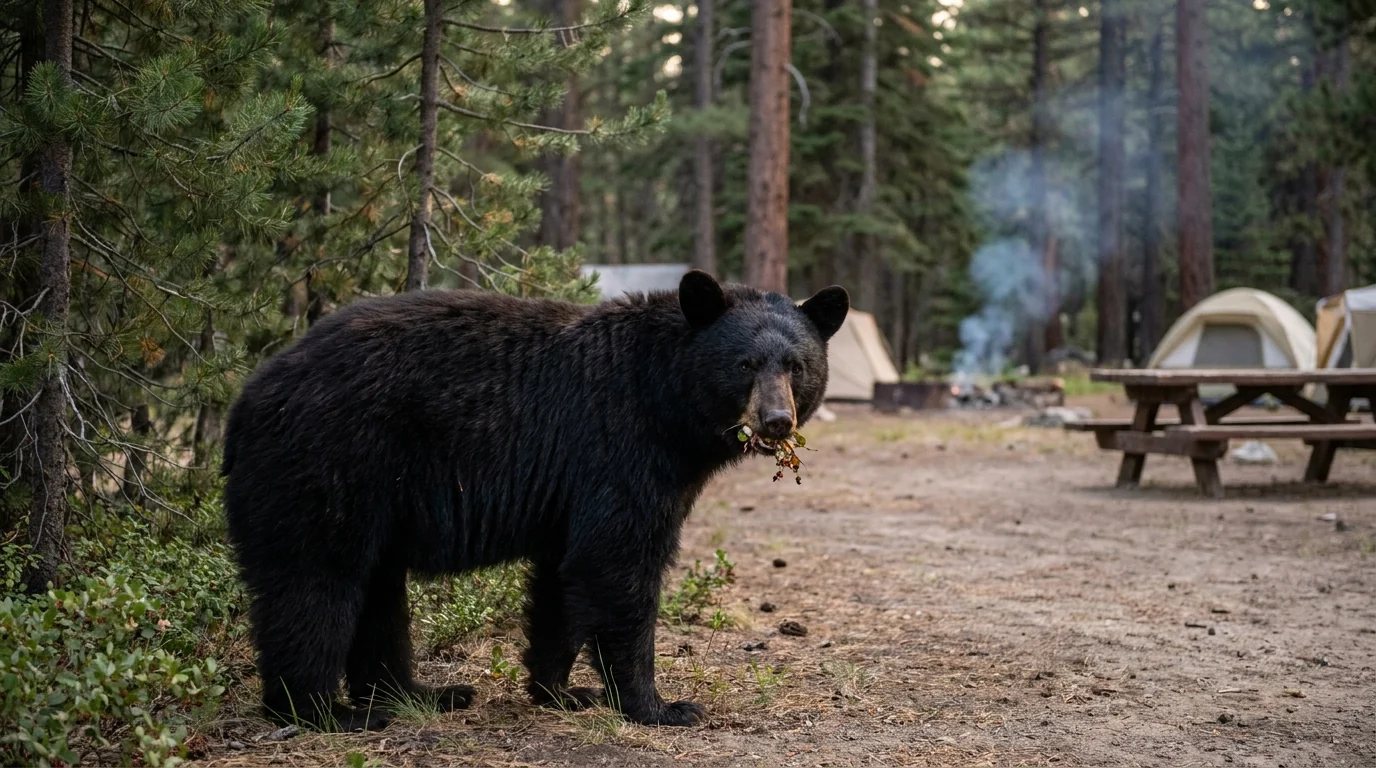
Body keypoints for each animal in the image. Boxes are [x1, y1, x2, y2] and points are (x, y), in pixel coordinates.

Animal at [221, 270, 849, 732]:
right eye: (744, 364)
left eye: (797, 365)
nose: (776, 420)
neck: (666, 403)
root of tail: (247, 399)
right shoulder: (618, 447)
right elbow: (617, 564)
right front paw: (659, 705)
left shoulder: (571, 489)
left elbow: (560, 580)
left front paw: (560, 691)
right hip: (332, 464)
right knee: (315, 583)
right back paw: (324, 711)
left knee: (377, 589)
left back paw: (421, 693)